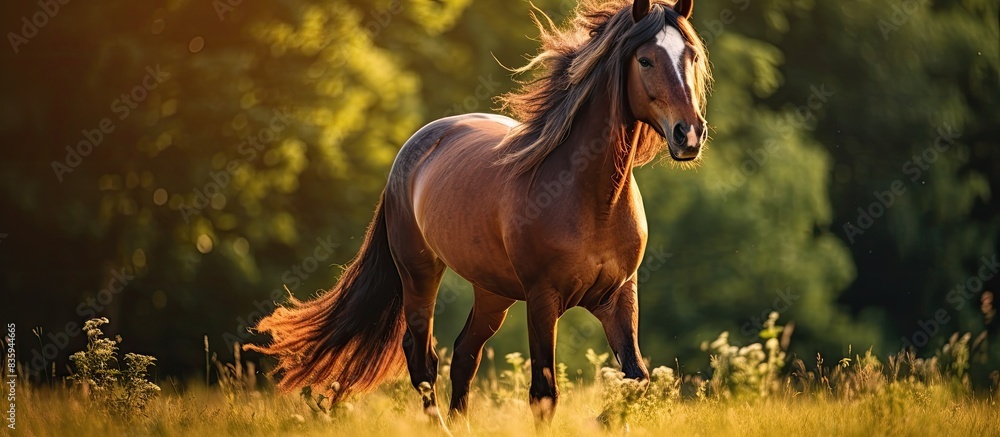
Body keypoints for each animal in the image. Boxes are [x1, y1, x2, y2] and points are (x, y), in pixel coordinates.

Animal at [249, 0, 712, 426]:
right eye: (645, 59)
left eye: (692, 56)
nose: (688, 134)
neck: (594, 200)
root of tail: (414, 148)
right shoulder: (543, 299)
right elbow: (544, 394)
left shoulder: (619, 296)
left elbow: (637, 379)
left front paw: (605, 420)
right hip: (420, 274)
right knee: (422, 358)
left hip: (494, 293)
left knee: (463, 355)